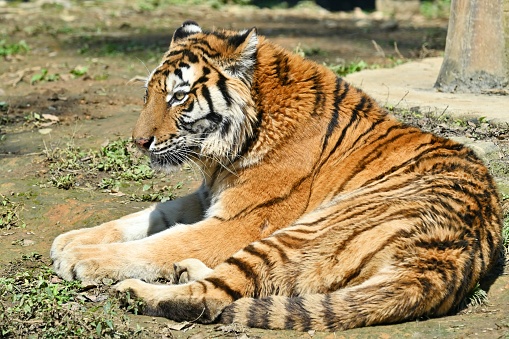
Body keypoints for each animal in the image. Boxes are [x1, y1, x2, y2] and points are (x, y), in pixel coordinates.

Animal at [49, 21, 502, 332]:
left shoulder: (240, 221)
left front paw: (80, 259)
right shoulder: (208, 195)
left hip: (298, 234)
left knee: (212, 298)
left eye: (179, 96)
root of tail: (447, 257)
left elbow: (161, 241)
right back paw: (186, 269)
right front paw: (71, 239)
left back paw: (135, 291)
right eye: (148, 94)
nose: (139, 142)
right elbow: (148, 216)